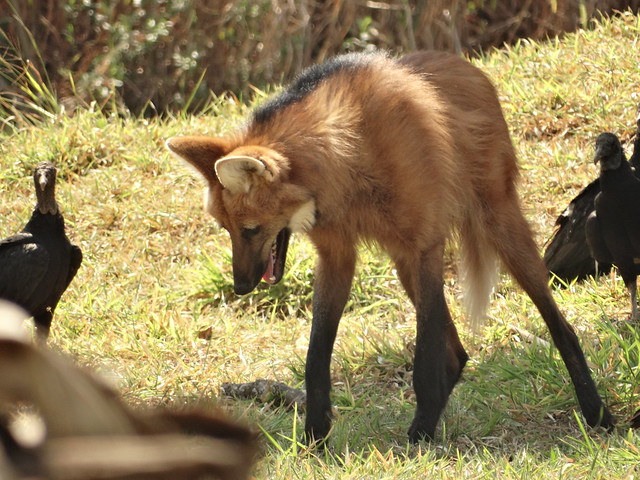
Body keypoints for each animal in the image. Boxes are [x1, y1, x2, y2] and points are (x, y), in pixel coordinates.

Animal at [166, 51, 616, 442]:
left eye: (250, 229)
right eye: (226, 228)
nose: (241, 286)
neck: (348, 160)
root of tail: (474, 71)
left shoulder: (425, 244)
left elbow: (424, 357)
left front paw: (419, 436)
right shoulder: (338, 255)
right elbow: (316, 356)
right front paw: (314, 439)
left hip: (497, 227)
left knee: (557, 326)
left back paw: (596, 413)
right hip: (403, 263)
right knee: (456, 352)